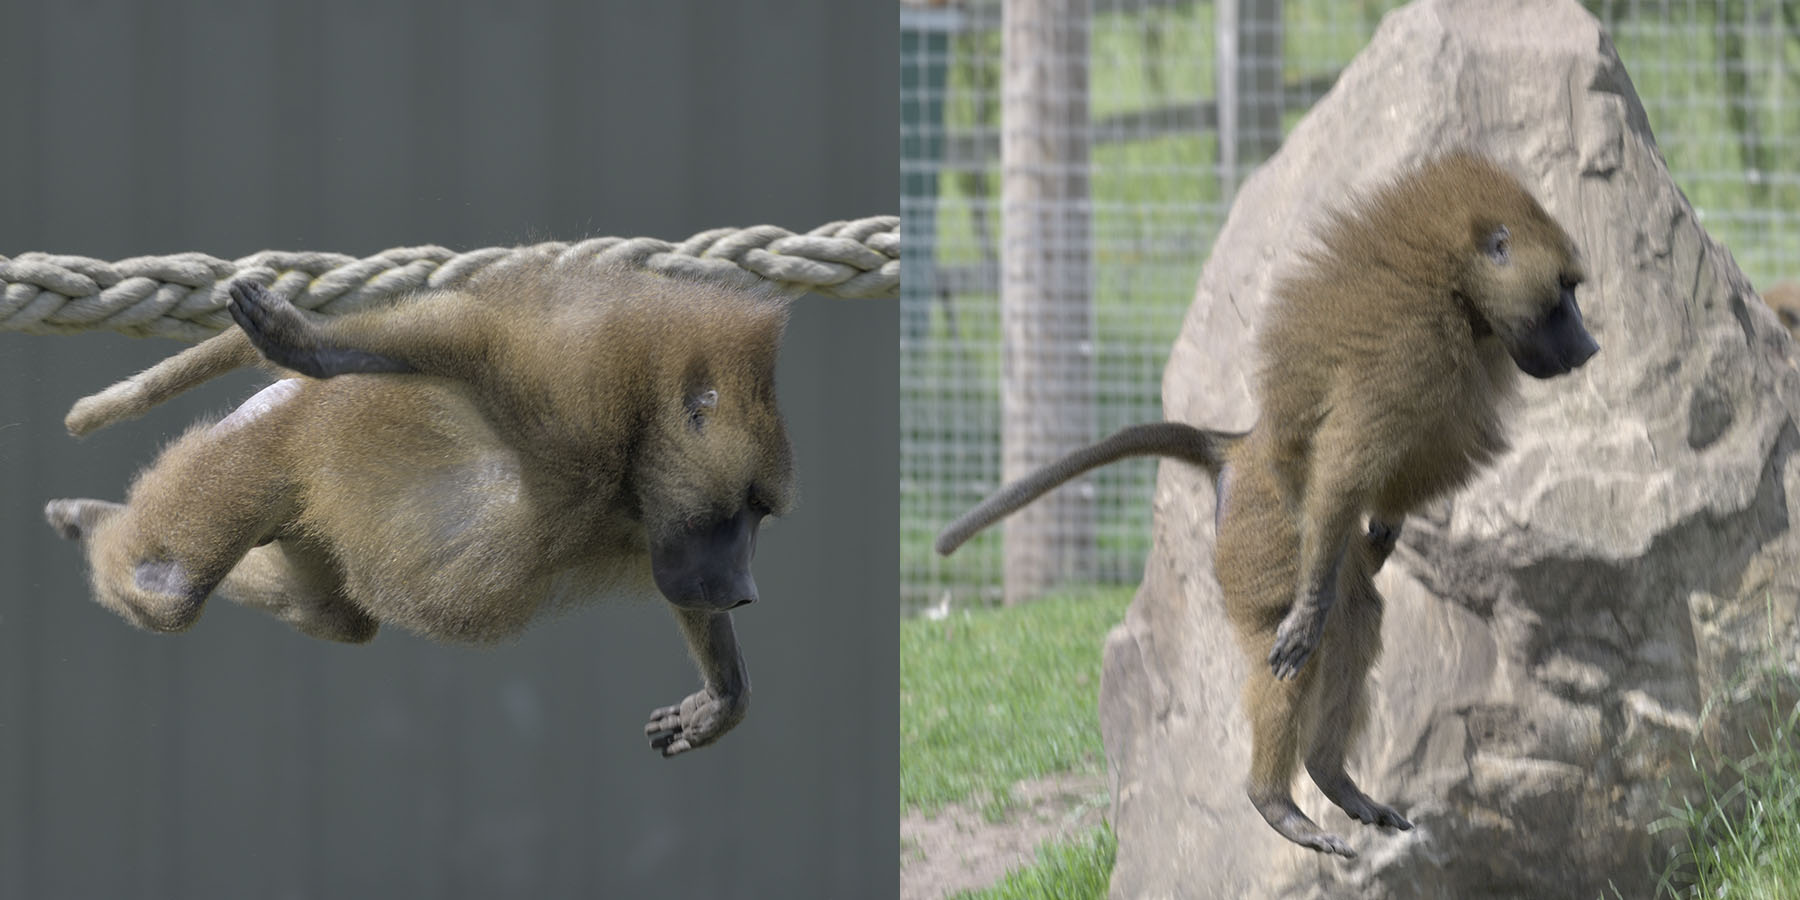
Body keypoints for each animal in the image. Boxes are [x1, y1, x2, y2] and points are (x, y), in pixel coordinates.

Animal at [44, 260, 798, 758]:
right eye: (748, 508)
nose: (747, 589)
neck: (628, 477)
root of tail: (296, 404)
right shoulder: (570, 408)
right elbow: (466, 337)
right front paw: (309, 341)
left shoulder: (655, 526)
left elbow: (684, 591)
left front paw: (723, 700)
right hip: (265, 448)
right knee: (170, 593)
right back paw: (100, 527)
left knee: (334, 615)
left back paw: (89, 518)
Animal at [937, 151, 1599, 857]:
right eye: (1564, 292)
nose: (1590, 346)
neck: (1455, 287)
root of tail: (1240, 449)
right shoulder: (1410, 352)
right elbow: (1342, 468)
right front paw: (1309, 611)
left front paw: (1386, 529)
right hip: (1265, 533)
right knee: (1313, 628)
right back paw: (1275, 799)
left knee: (1356, 617)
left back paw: (1332, 778)